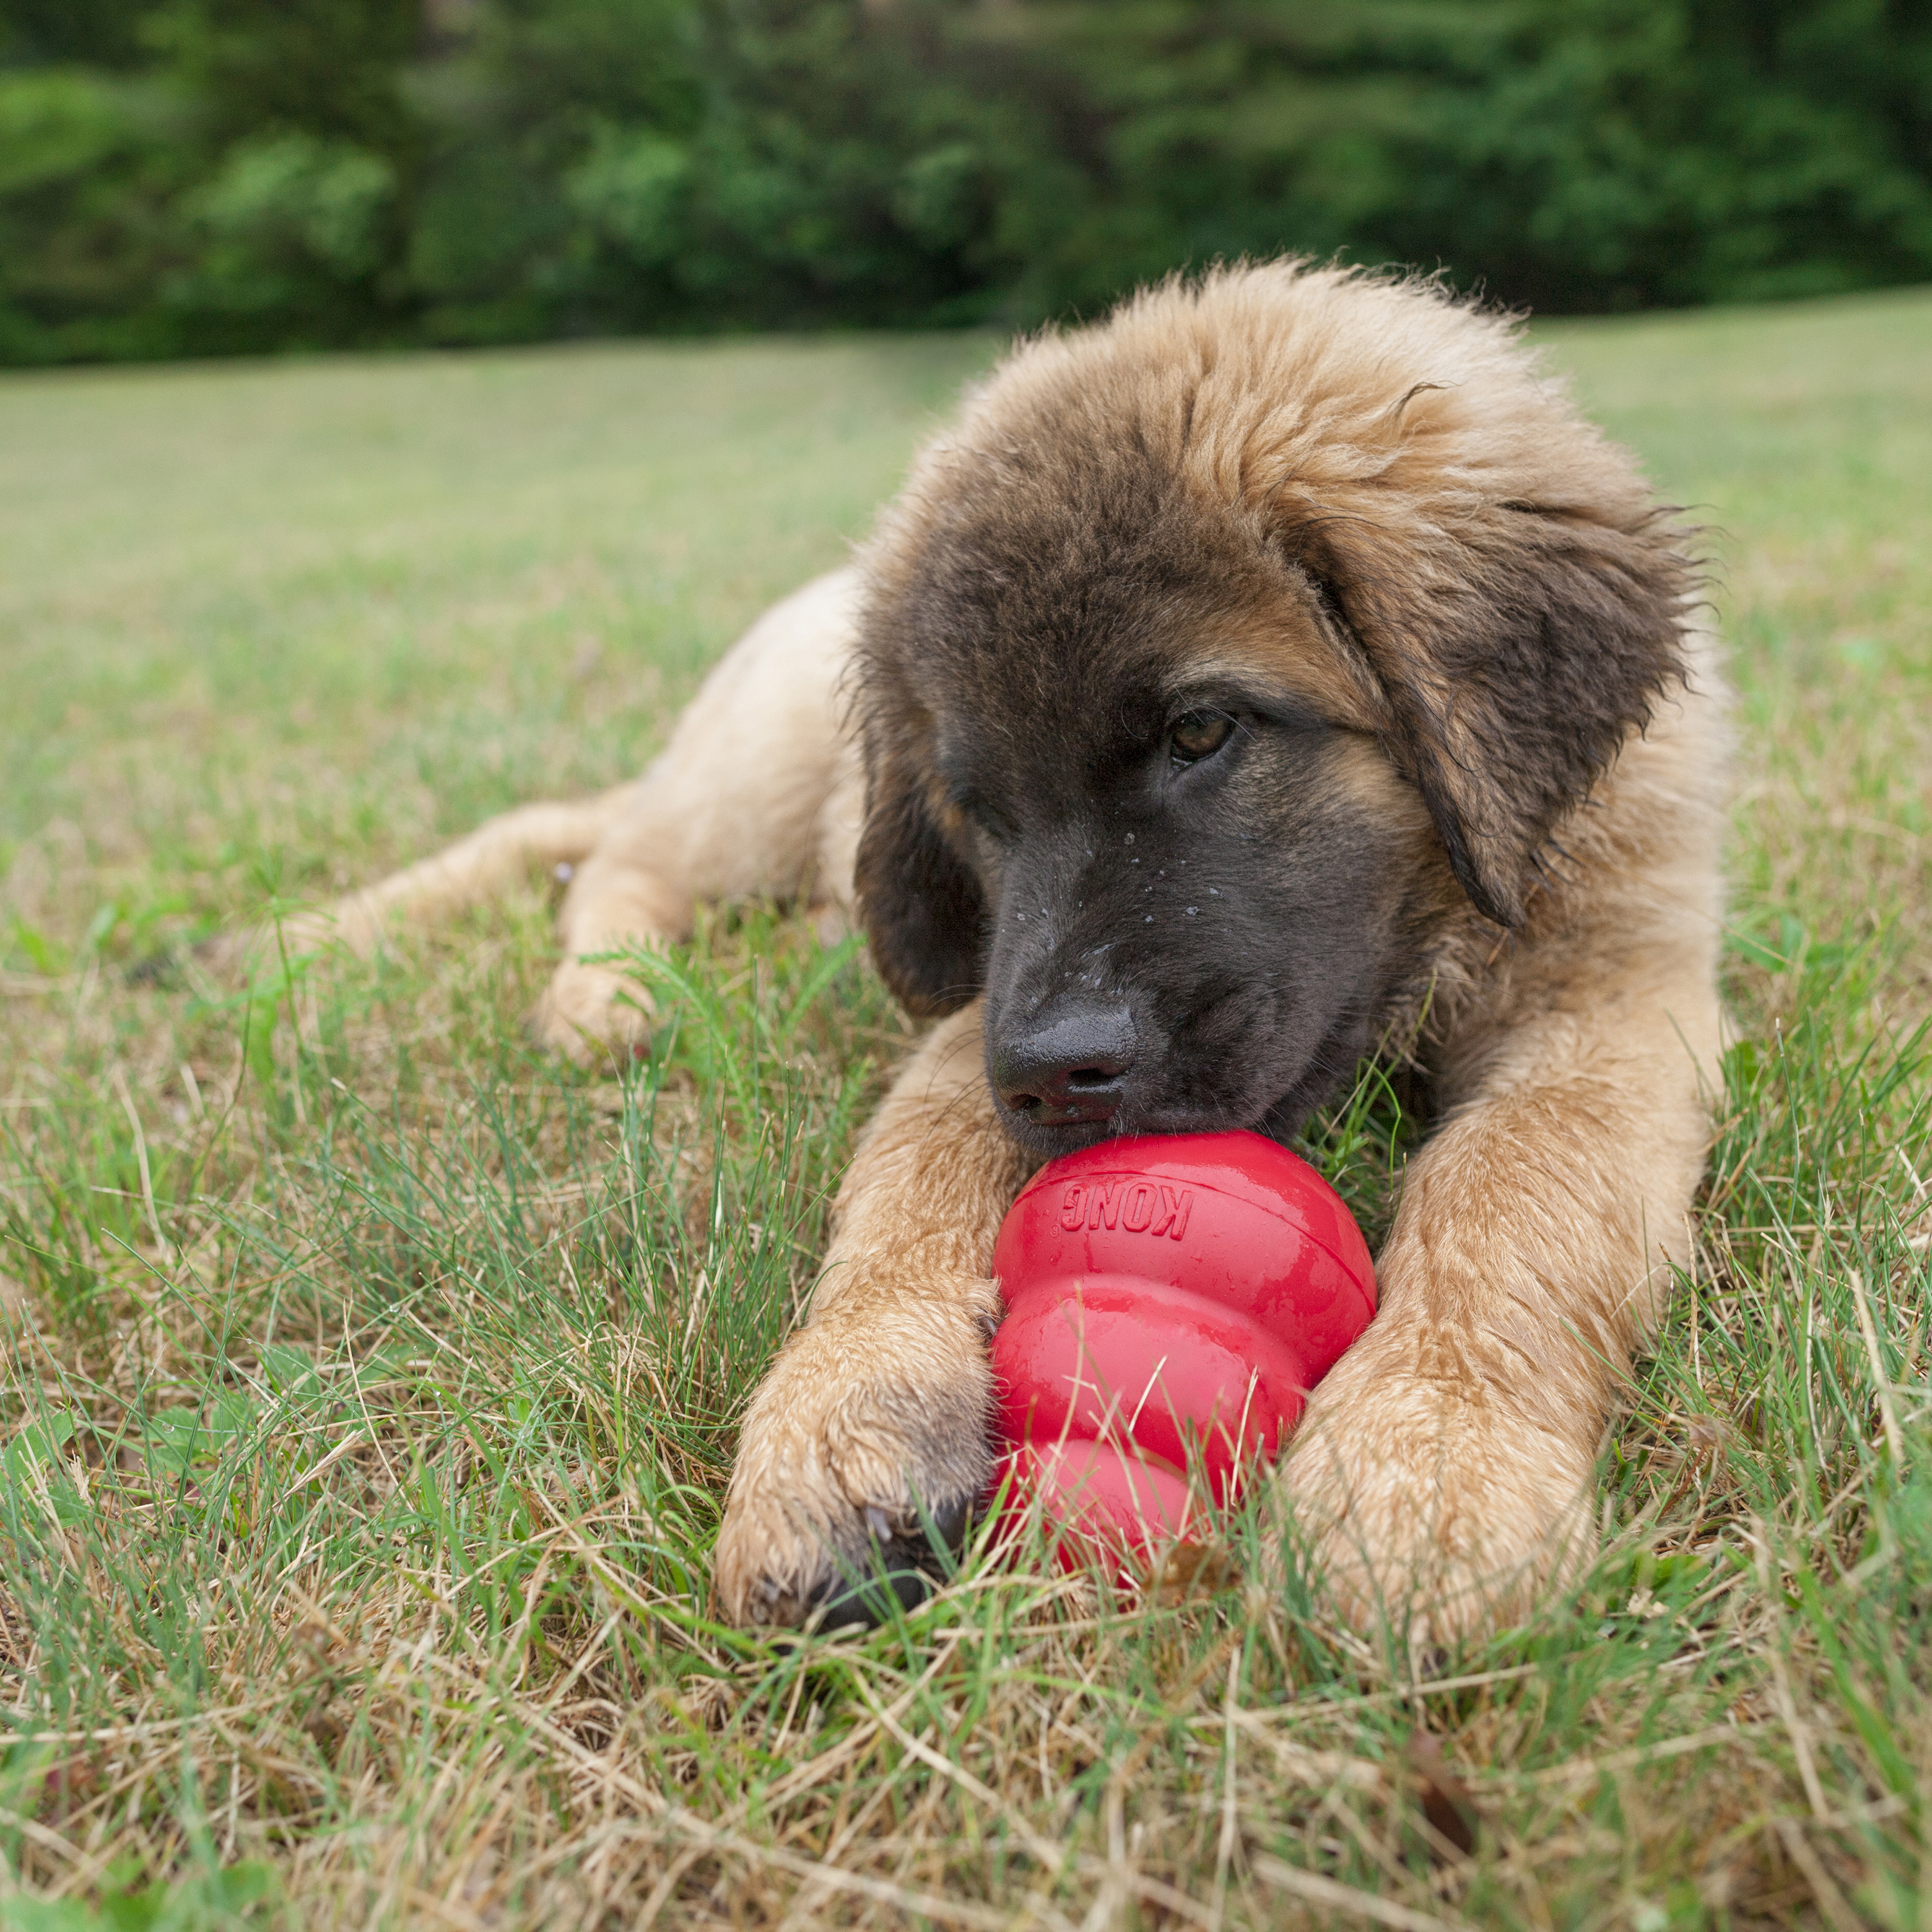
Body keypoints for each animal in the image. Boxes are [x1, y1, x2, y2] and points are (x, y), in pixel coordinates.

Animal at [253, 261, 1723, 1646]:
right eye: (979, 807)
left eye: (1202, 732)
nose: (1059, 1077)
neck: (1433, 942)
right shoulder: (978, 1009)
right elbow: (907, 1185)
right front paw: (842, 1415)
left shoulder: (1617, 1002)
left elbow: (1521, 1191)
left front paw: (1430, 1466)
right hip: (752, 782)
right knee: (617, 857)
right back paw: (606, 998)